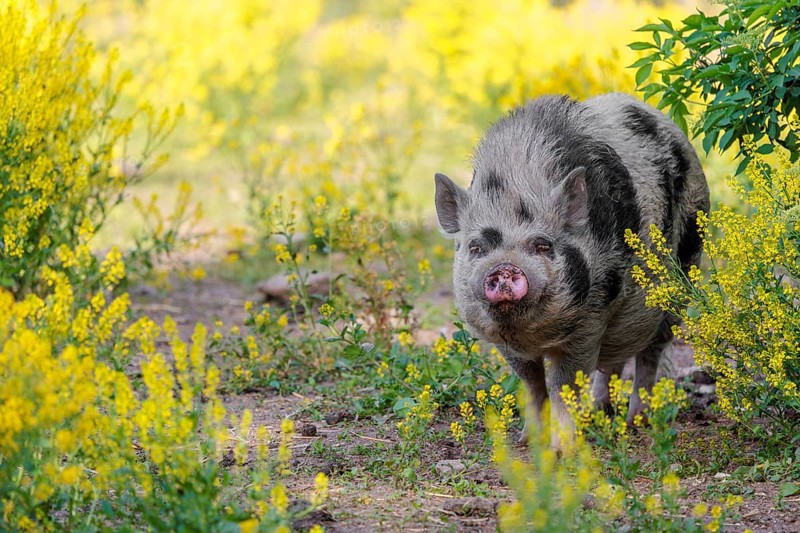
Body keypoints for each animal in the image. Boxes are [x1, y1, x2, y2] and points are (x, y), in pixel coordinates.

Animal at [434, 93, 709, 446]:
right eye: (476, 247)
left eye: (542, 245)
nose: (505, 268)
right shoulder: (506, 344)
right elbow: (532, 384)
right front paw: (526, 441)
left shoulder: (591, 321)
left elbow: (562, 385)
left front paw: (562, 449)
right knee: (614, 360)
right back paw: (599, 414)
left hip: (685, 271)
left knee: (651, 353)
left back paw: (637, 422)